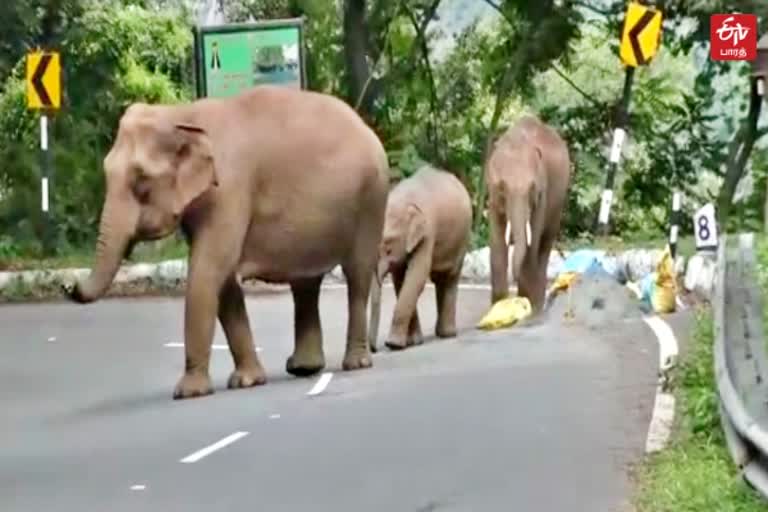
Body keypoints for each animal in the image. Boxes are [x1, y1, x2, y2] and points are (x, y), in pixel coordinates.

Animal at [63, 85, 390, 400]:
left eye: (141, 182)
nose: (67, 285)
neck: (181, 115)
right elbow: (223, 280)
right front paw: (248, 381)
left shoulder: (230, 188)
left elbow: (208, 269)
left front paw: (189, 393)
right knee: (305, 283)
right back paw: (303, 367)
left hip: (372, 199)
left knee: (357, 274)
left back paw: (355, 363)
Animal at [368, 164, 474, 352]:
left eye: (388, 249)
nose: (373, 349)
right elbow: (400, 281)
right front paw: (413, 342)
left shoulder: (428, 232)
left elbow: (415, 278)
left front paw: (394, 344)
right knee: (440, 280)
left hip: (462, 238)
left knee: (450, 277)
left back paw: (447, 334)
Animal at [486, 114, 568, 312]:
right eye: (502, 188)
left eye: (532, 188)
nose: (514, 281)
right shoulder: (492, 195)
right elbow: (497, 241)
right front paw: (498, 306)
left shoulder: (542, 193)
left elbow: (534, 238)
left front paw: (526, 305)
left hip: (558, 203)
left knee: (544, 244)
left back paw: (538, 305)